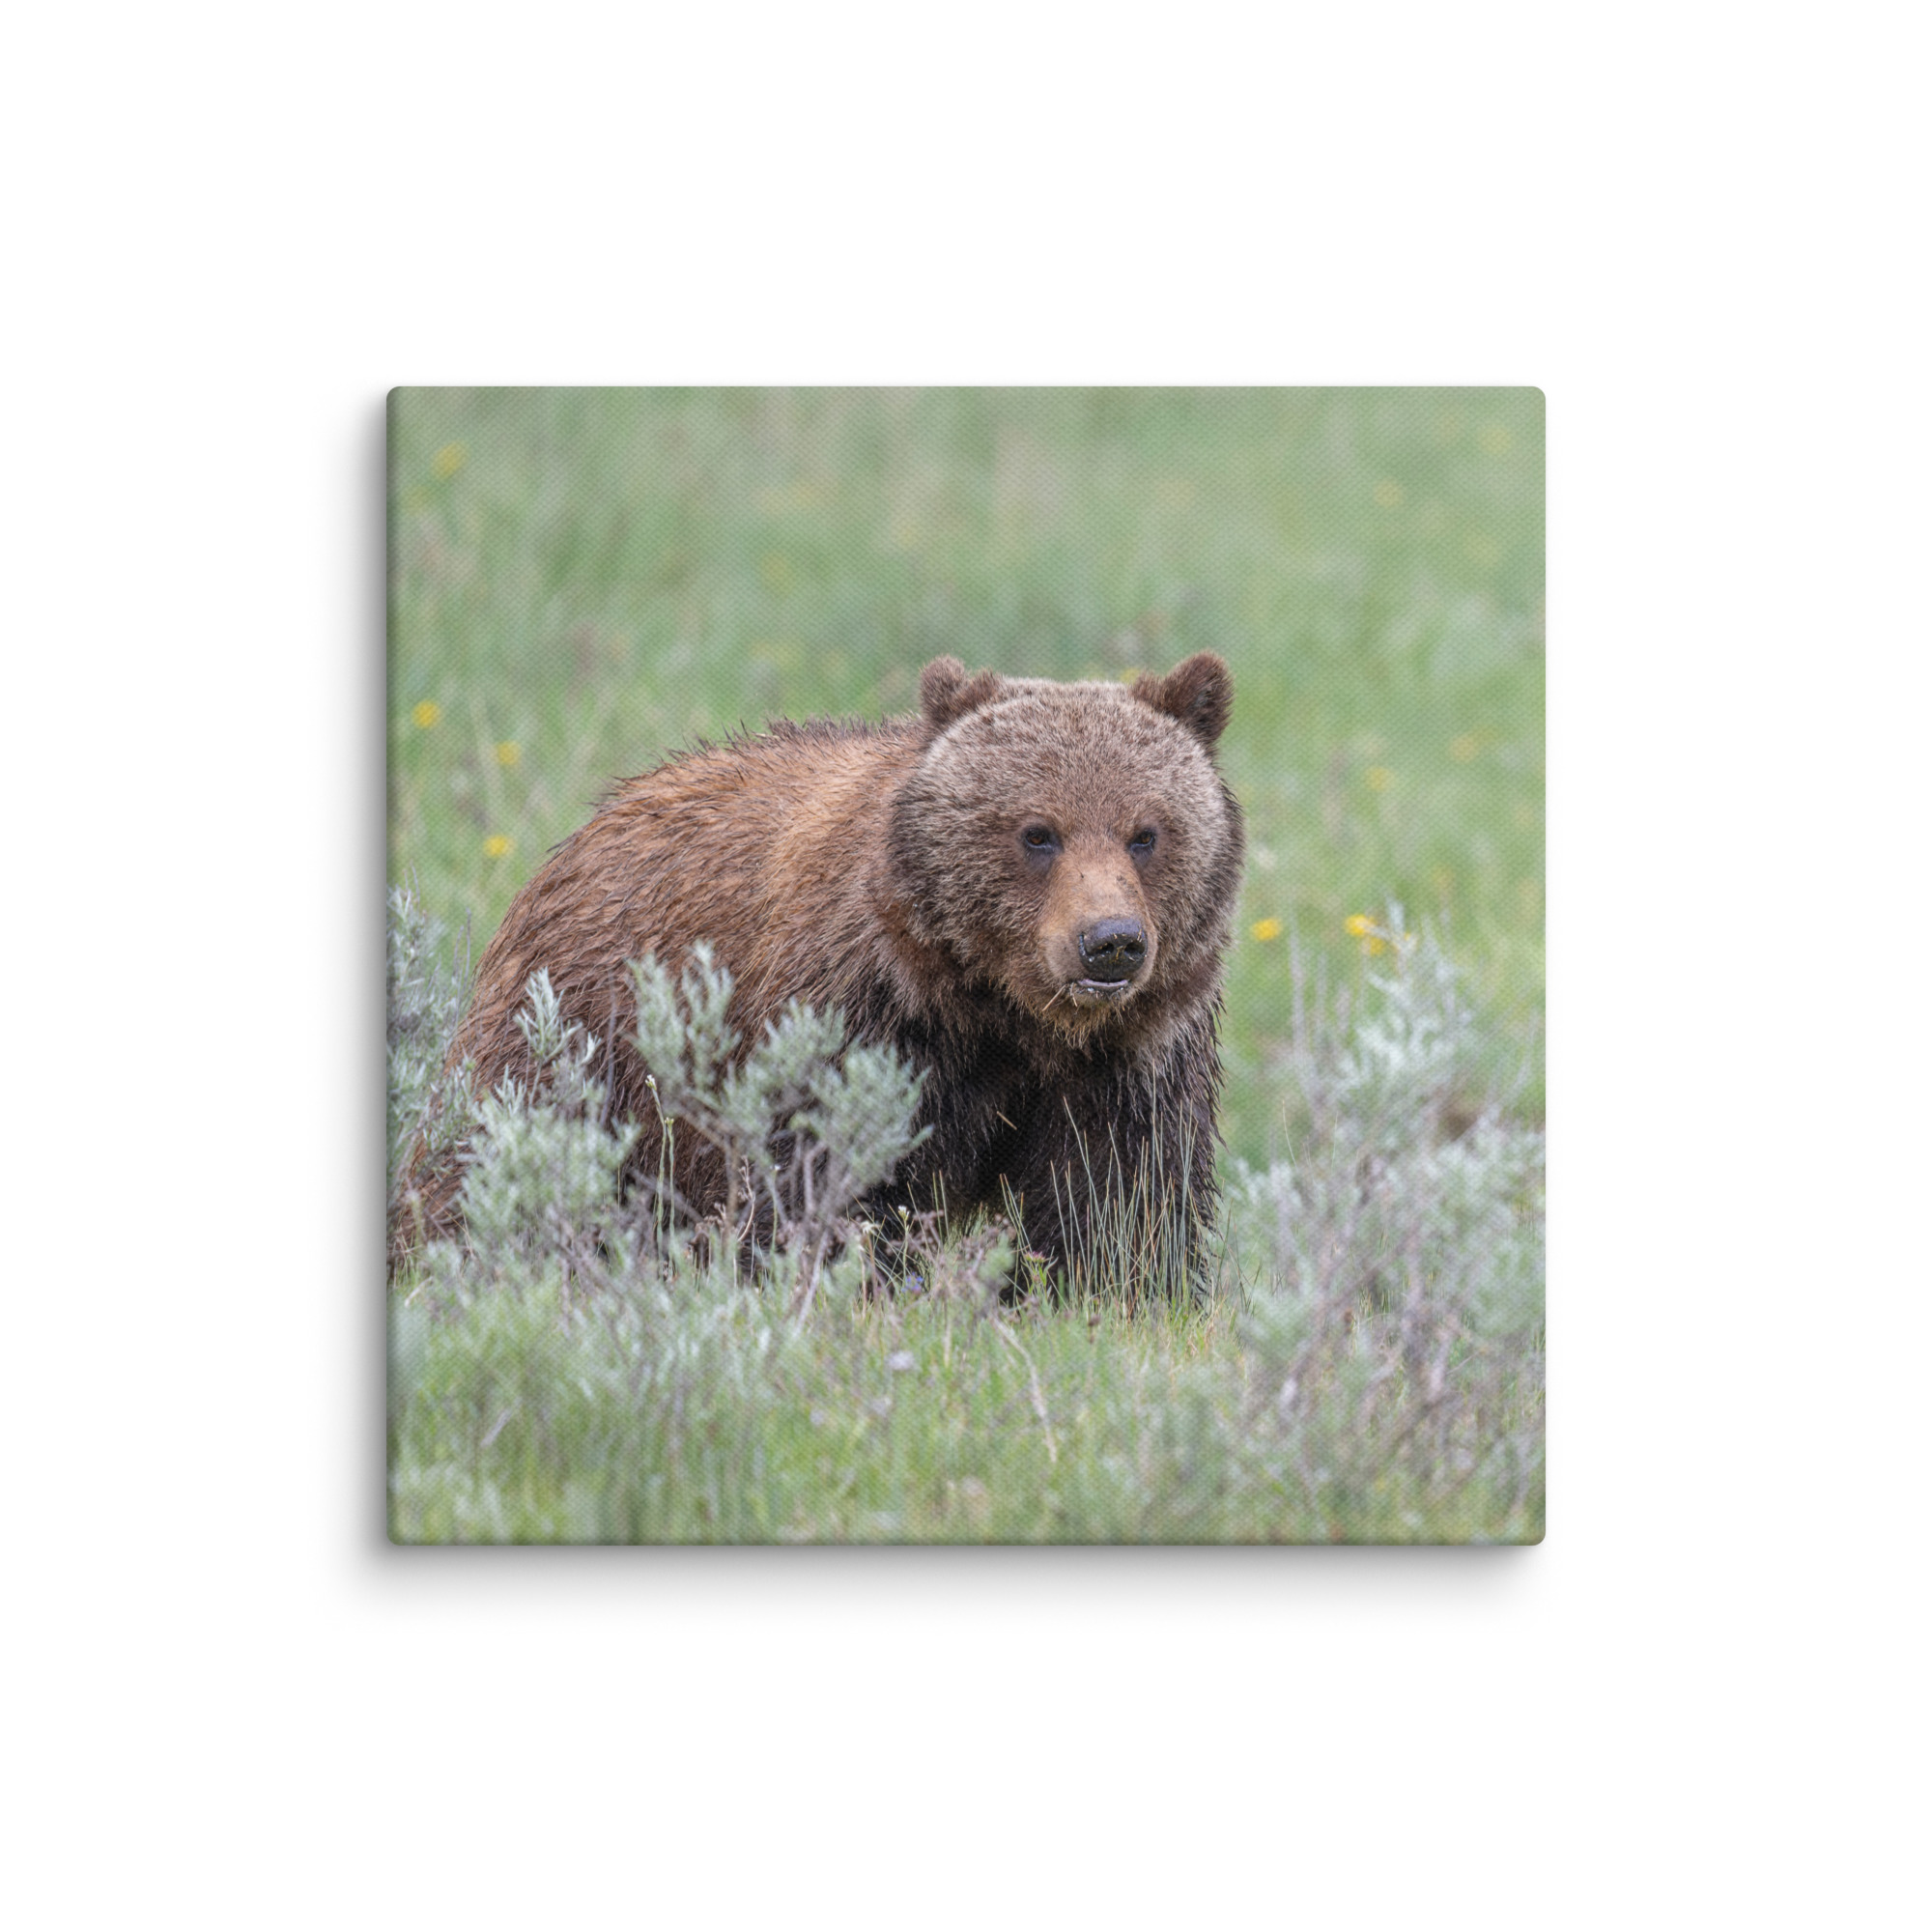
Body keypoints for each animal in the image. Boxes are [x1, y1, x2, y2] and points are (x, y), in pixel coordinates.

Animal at [396, 652, 1244, 1287]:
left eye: (1146, 833)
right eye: (1038, 832)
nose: (1110, 942)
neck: (1002, 1012)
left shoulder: (1129, 1056)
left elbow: (1119, 1201)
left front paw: (1111, 1291)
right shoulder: (860, 1019)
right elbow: (820, 1179)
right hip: (580, 1031)